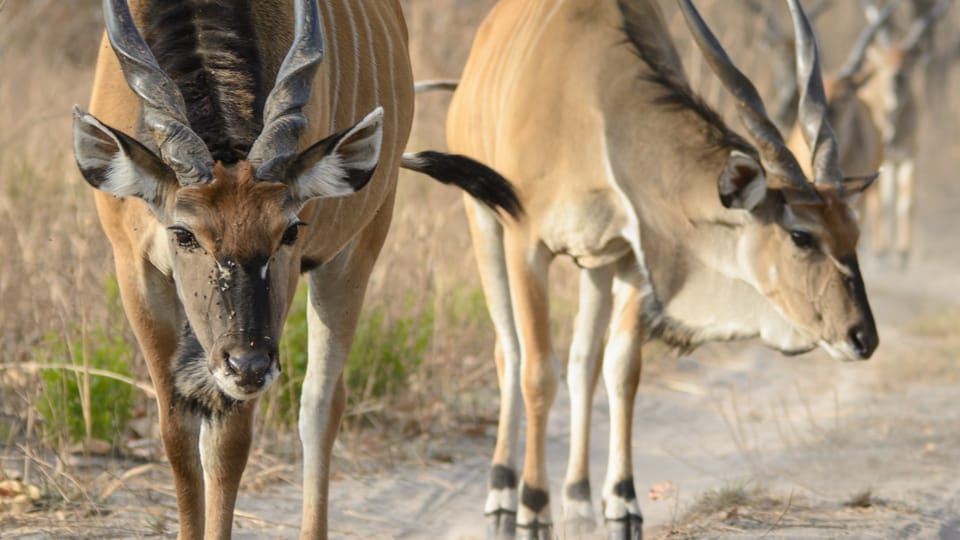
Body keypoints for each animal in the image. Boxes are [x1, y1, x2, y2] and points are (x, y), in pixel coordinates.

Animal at [72, 2, 520, 536]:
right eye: (183, 233)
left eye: (287, 231)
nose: (248, 365)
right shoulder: (135, 267)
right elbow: (177, 435)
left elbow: (230, 445)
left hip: (355, 249)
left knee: (320, 405)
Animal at [442, 0, 876, 536]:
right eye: (801, 236)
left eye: (853, 233)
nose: (863, 338)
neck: (593, 101)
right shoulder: (528, 243)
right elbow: (538, 370)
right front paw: (533, 507)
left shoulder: (633, 254)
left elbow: (621, 368)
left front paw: (622, 503)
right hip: (482, 222)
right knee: (510, 352)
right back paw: (504, 491)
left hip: (595, 266)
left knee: (583, 364)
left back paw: (579, 498)